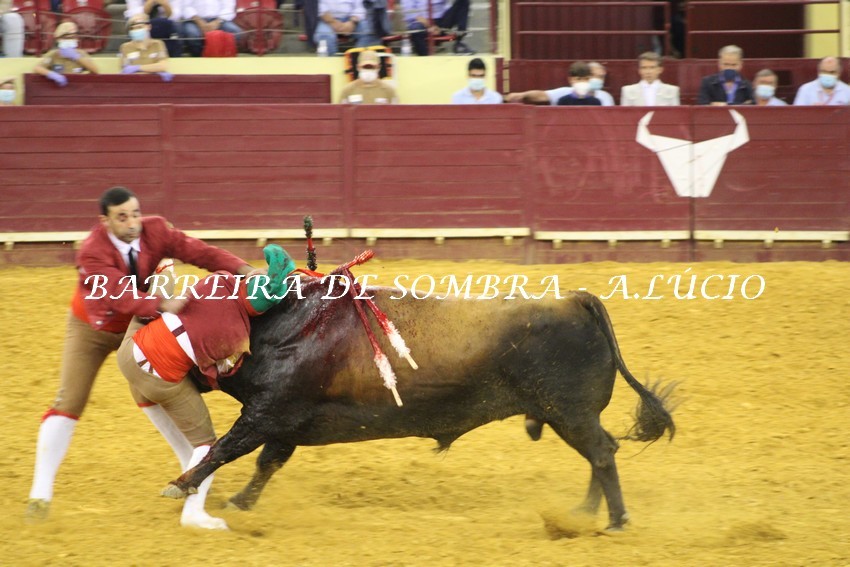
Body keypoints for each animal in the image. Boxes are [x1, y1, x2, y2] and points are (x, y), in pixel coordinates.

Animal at [169, 275, 676, 531]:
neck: (282, 326)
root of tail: (574, 300)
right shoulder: (285, 423)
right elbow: (266, 464)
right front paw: (239, 502)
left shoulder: (268, 413)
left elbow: (224, 449)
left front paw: (180, 485)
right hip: (569, 415)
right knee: (602, 452)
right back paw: (584, 514)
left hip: (569, 412)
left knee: (602, 453)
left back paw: (614, 520)